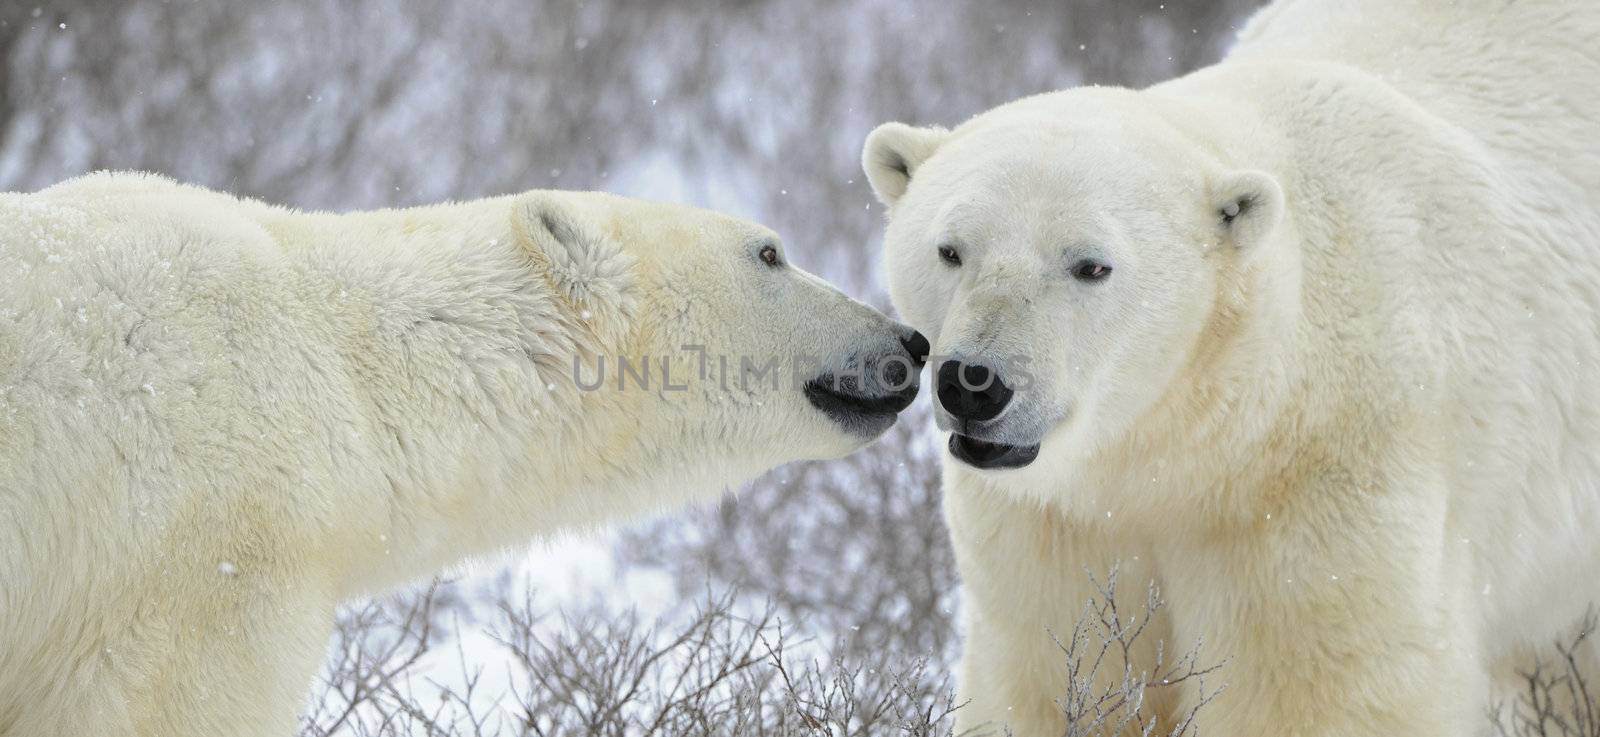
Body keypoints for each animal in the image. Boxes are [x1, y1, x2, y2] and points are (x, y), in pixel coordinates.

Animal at [864, 1, 1600, 735]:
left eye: (1091, 265)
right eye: (951, 249)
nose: (974, 382)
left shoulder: (1321, 482)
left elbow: (1319, 687)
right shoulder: (1054, 521)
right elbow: (1055, 672)